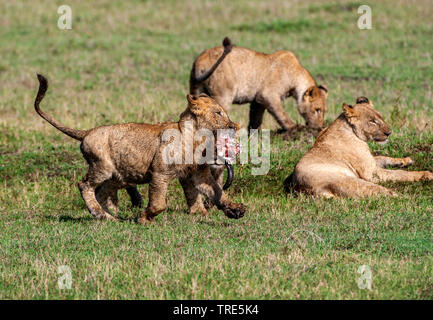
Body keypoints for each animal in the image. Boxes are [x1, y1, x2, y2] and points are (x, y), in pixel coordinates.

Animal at [34, 74, 243, 224]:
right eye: (218, 113)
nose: (233, 126)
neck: (197, 139)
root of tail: (87, 132)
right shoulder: (160, 173)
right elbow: (159, 203)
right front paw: (144, 219)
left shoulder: (198, 174)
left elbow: (217, 192)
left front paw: (235, 210)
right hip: (102, 167)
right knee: (84, 186)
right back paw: (103, 216)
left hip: (117, 176)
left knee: (101, 192)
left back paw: (110, 215)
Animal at [189, 37, 328, 132]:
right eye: (317, 109)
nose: (319, 127)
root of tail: (200, 61)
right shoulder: (267, 94)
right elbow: (281, 113)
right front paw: (294, 128)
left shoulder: (257, 101)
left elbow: (255, 120)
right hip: (223, 95)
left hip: (196, 90)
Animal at [284, 95, 432, 198]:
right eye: (372, 121)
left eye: (380, 117)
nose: (389, 133)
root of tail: (305, 189)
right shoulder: (371, 173)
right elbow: (399, 174)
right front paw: (425, 174)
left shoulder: (370, 161)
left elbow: (383, 157)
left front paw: (406, 160)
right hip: (354, 180)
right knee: (381, 192)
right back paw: (403, 197)